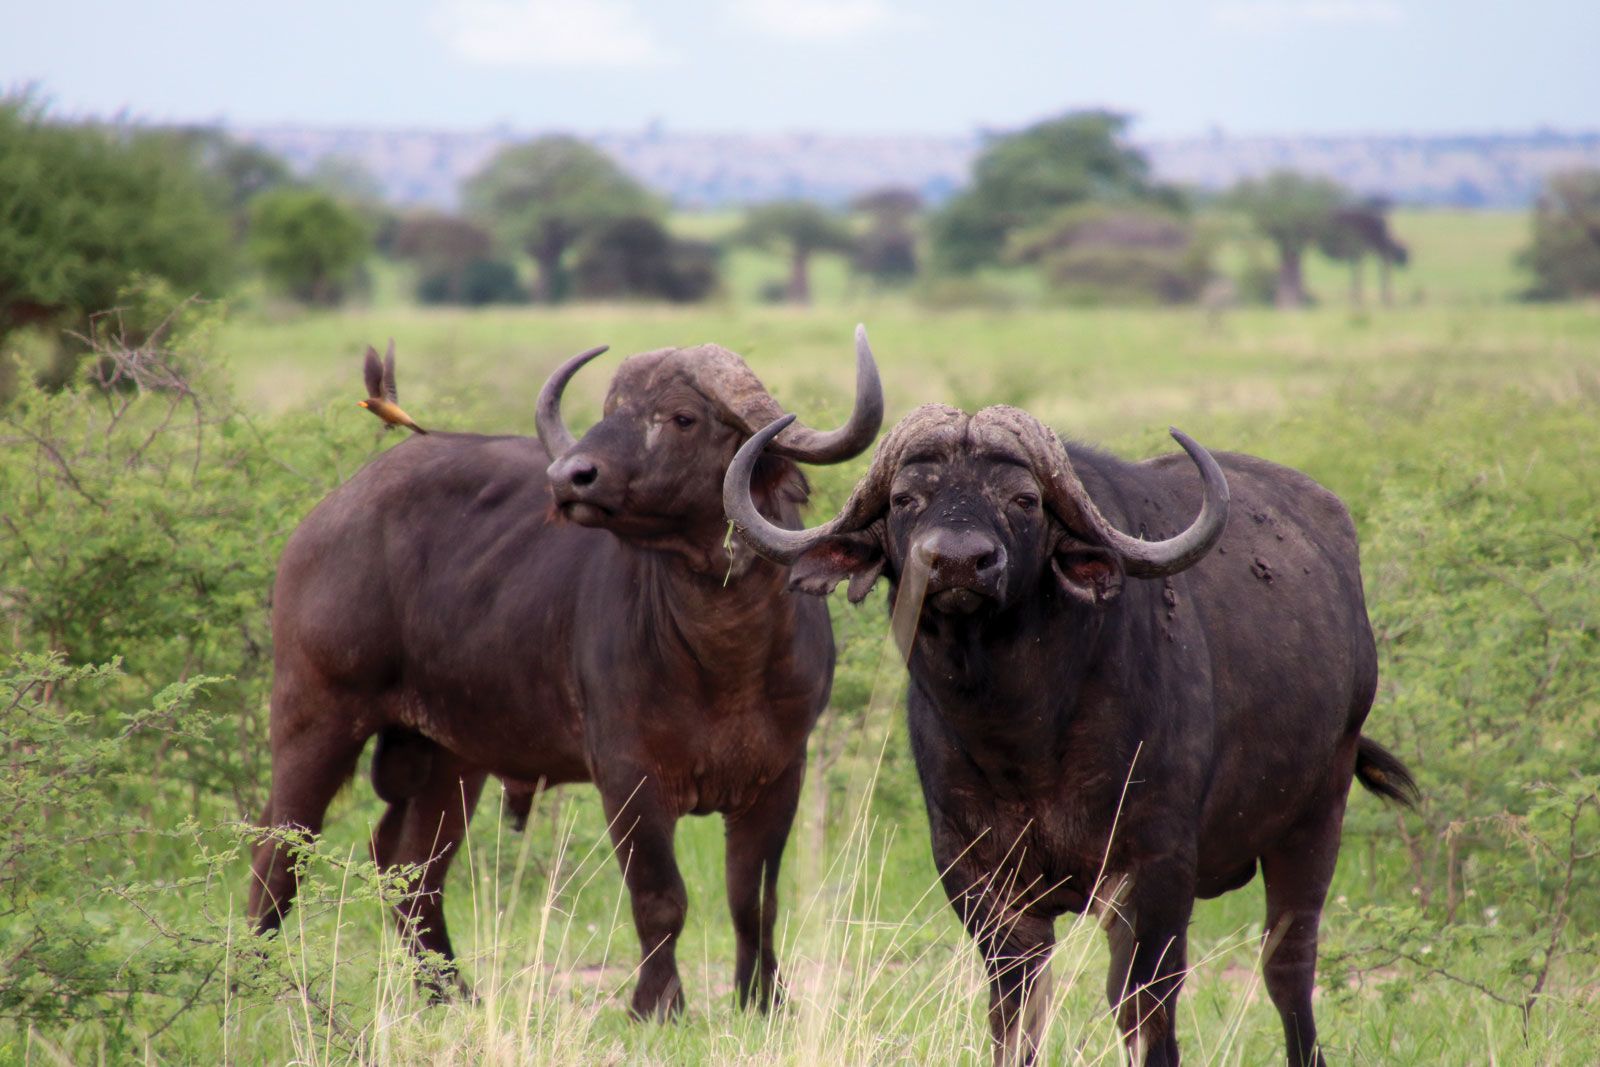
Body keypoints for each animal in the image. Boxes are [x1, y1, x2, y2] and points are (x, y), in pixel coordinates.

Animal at [248, 330, 882, 1017]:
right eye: (611, 409)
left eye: (682, 417)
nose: (569, 476)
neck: (724, 659)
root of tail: (326, 518)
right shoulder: (628, 777)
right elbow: (661, 898)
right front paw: (657, 1007)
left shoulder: (780, 775)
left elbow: (753, 901)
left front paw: (764, 1001)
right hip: (315, 715)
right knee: (277, 853)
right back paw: (249, 982)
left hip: (450, 758)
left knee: (408, 869)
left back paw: (454, 994)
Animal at [726, 403, 1417, 1066]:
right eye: (905, 499)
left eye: (1023, 499)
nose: (957, 563)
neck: (1023, 736)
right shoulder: (979, 879)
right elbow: (1016, 1009)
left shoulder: (1155, 871)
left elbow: (1143, 1008)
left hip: (1315, 818)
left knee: (1288, 967)